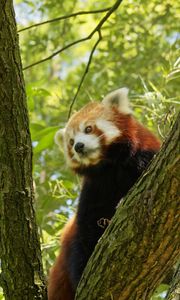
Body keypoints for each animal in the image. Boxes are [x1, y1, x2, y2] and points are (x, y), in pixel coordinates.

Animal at [47, 88, 160, 298]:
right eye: (71, 142)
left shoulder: (145, 156)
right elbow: (87, 229)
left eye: (88, 129)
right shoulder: (95, 189)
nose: (78, 146)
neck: (110, 166)